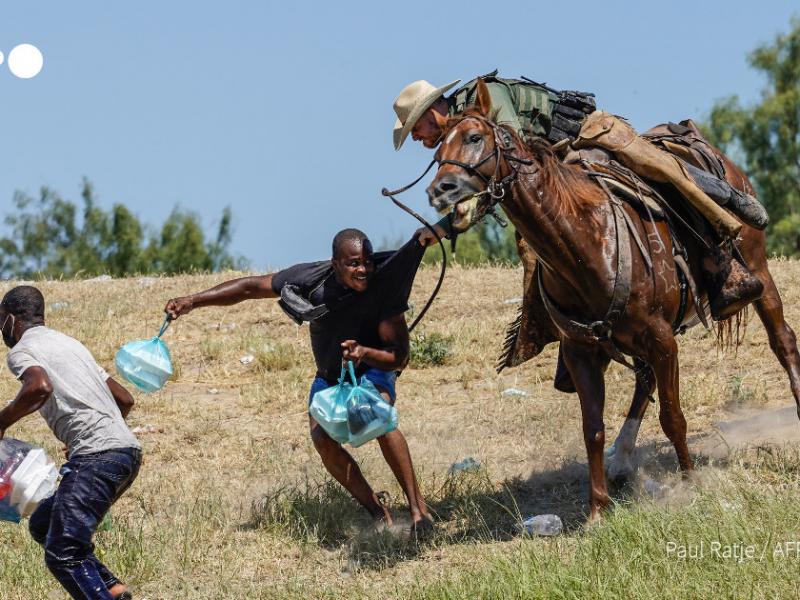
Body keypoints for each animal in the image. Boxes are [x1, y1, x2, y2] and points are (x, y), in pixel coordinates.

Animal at [424, 78, 800, 520]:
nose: (440, 190)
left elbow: (673, 416)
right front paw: (597, 510)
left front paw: (690, 483)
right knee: (644, 380)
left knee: (782, 340)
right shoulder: (582, 351)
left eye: (474, 137)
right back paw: (622, 458)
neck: (585, 241)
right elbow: (593, 429)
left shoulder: (661, 339)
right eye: (437, 152)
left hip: (758, 270)